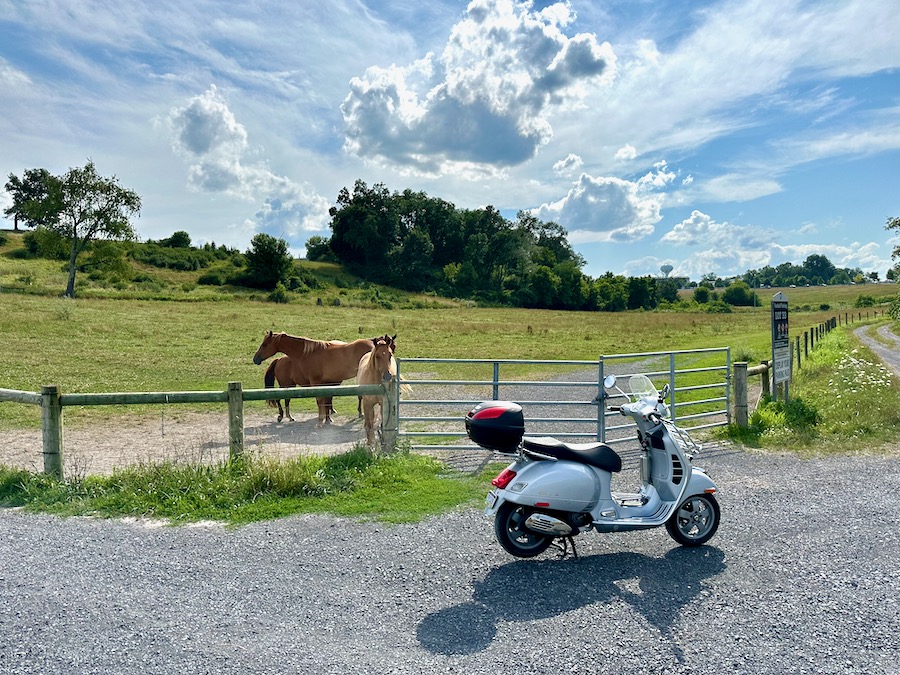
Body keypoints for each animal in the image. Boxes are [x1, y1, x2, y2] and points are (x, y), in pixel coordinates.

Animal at [251, 334, 384, 428]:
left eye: (264, 344)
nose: (255, 359)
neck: (307, 353)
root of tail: (279, 360)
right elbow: (324, 401)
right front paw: (326, 419)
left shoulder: (317, 382)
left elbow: (321, 401)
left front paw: (321, 421)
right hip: (287, 385)